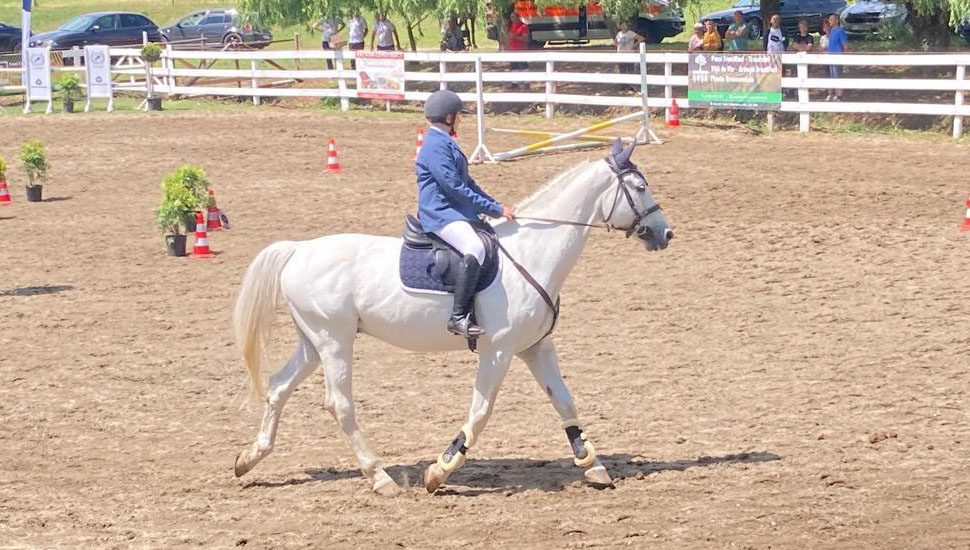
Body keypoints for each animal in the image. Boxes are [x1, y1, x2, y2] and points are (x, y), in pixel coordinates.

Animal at [234, 141, 672, 496]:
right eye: (639, 187)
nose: (665, 234)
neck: (531, 251)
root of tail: (299, 250)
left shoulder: (535, 346)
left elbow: (564, 401)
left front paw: (592, 465)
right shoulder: (498, 351)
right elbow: (480, 412)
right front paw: (440, 470)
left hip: (313, 342)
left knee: (279, 385)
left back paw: (249, 458)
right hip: (333, 340)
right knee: (339, 404)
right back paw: (380, 477)